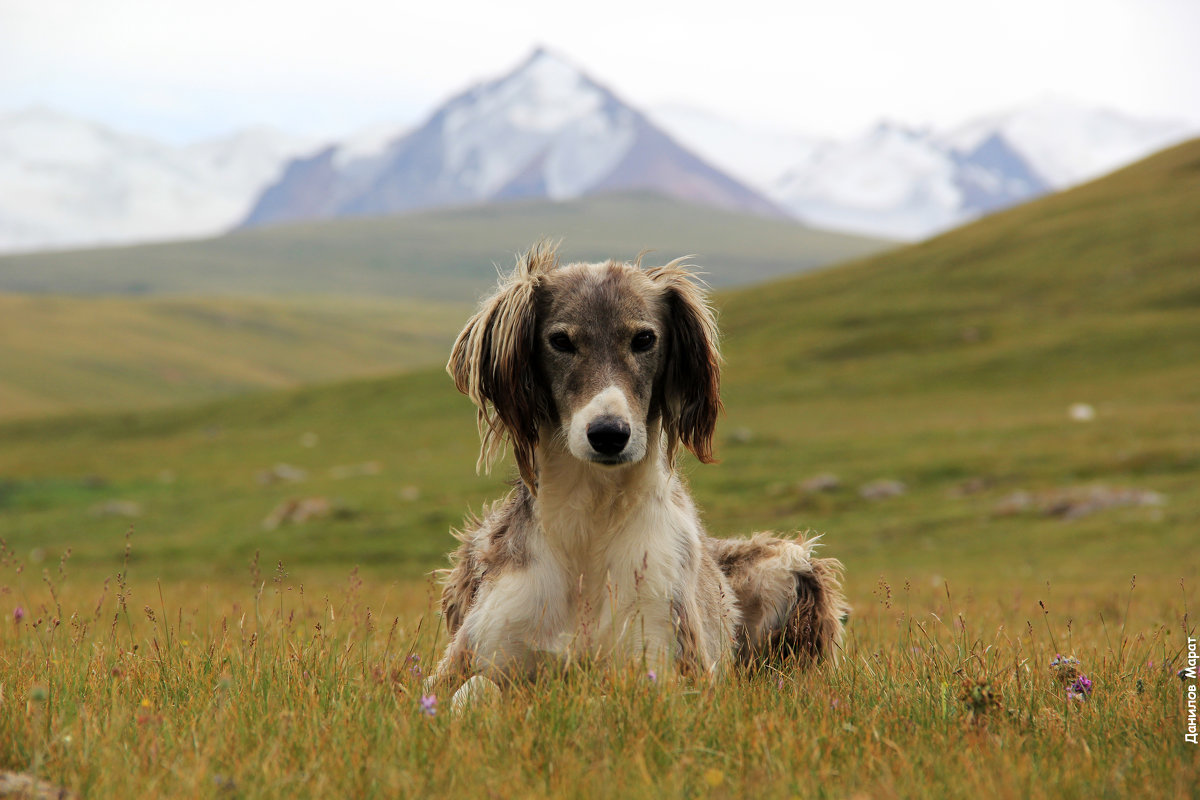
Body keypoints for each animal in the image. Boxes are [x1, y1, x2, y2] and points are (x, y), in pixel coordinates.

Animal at [432, 242, 844, 690]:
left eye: (644, 338)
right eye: (560, 340)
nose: (609, 434)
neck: (591, 522)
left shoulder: (669, 665)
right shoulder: (467, 657)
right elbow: (473, 688)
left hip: (790, 562)